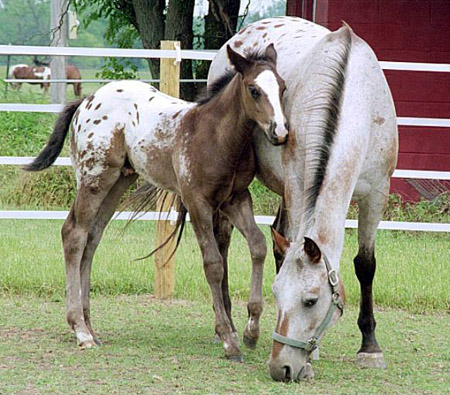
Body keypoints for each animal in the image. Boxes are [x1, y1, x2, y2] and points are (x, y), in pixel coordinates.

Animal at [207, 17, 398, 382]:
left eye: (311, 300)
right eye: (276, 292)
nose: (280, 367)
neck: (357, 100)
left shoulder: (377, 194)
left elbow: (365, 265)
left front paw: (370, 347)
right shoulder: (297, 185)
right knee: (221, 241)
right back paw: (229, 328)